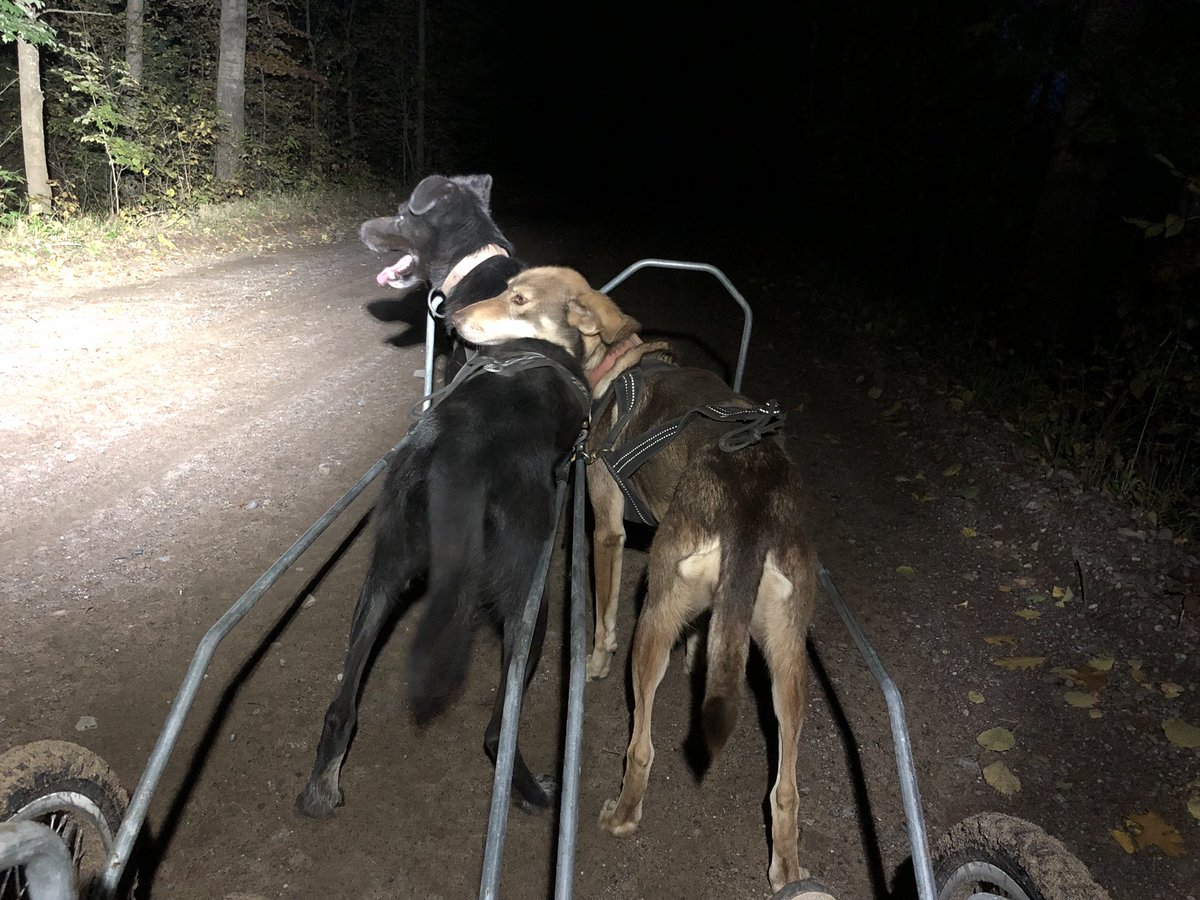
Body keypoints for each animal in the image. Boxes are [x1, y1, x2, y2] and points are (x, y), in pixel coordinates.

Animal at [295, 174, 585, 816]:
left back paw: (323, 780)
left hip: (386, 568)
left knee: (340, 705)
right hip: (528, 596)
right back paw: (532, 792)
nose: (361, 228)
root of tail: (458, 461)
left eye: (404, 212)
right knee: (497, 730)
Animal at [451, 267, 816, 897]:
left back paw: (622, 815)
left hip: (653, 620)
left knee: (642, 747)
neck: (616, 366)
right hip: (789, 664)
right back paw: (787, 870)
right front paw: (698, 652)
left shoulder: (607, 530)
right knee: (786, 790)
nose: (451, 319)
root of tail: (751, 502)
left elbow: (601, 617)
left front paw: (593, 662)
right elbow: (707, 636)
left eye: (518, 300)